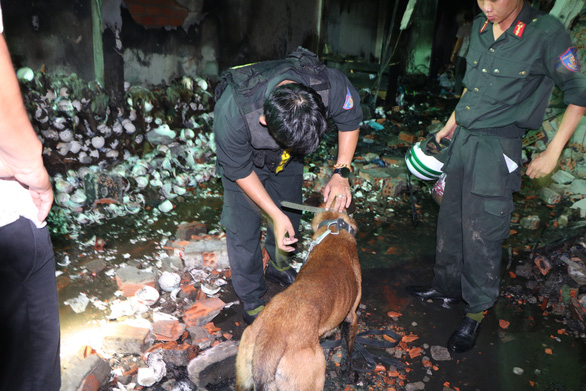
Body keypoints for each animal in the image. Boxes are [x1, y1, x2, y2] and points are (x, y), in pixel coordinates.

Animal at [235, 211, 358, 391]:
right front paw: (348, 373)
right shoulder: (351, 317)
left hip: (243, 377)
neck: (334, 229)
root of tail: (269, 343)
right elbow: (347, 352)